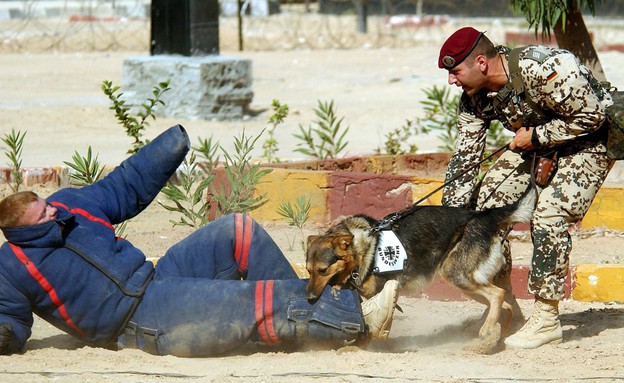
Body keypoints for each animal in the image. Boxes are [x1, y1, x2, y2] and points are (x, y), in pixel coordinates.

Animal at [304, 189, 536, 348]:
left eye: (322, 270)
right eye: (308, 271)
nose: (310, 299)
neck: (363, 247)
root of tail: (482, 216)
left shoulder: (376, 293)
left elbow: (367, 323)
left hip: (457, 275)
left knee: (498, 295)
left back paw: (488, 331)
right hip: (469, 283)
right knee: (506, 302)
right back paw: (496, 337)